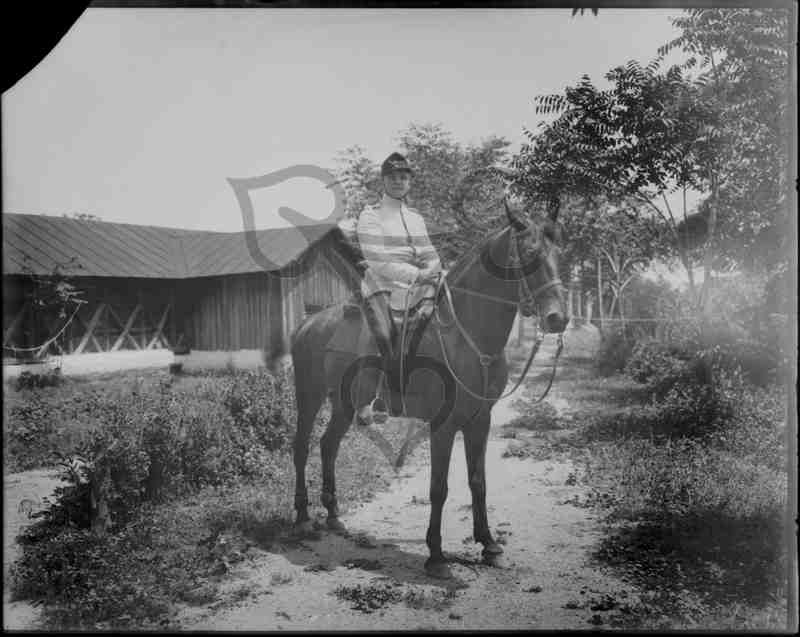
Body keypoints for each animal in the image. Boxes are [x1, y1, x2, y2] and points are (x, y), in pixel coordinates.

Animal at [270, 201, 567, 579]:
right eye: (529, 253)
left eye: (559, 253)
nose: (559, 319)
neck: (466, 337)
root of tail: (308, 323)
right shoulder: (443, 425)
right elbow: (438, 488)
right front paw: (436, 556)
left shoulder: (479, 420)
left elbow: (478, 481)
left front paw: (489, 544)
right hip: (309, 396)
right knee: (301, 447)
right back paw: (304, 517)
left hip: (344, 404)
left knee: (328, 445)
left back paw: (334, 516)